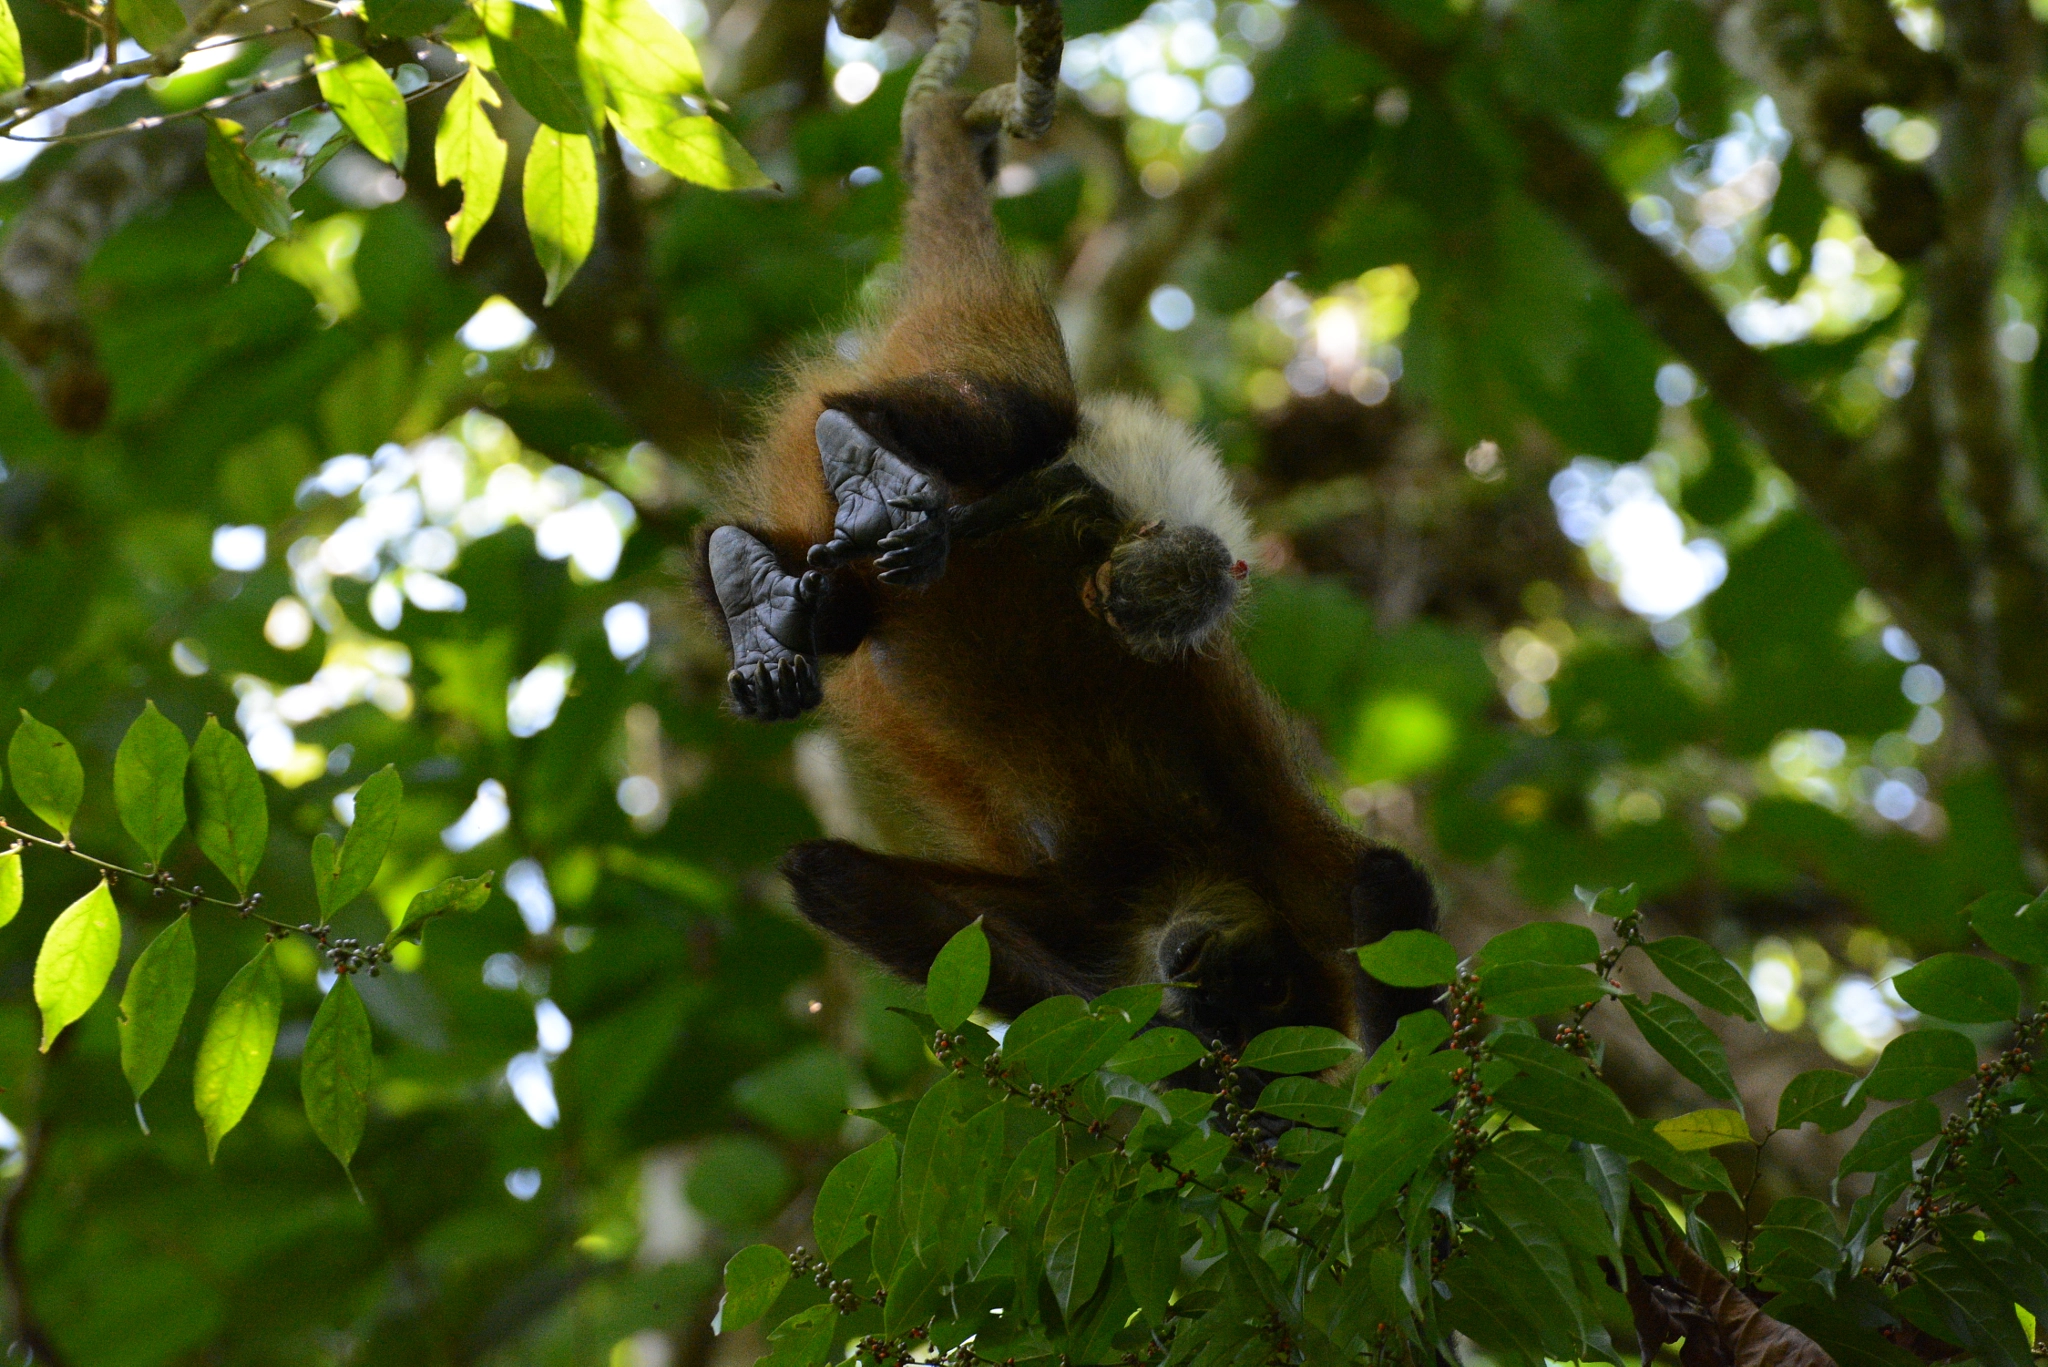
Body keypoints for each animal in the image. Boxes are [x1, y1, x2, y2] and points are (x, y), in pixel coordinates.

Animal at [697, 91, 1439, 1057]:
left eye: (1247, 1009)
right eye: (1258, 985)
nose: (1195, 982)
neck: (1186, 873)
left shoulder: (1095, 913)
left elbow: (835, 876)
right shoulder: (1287, 862)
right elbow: (1389, 880)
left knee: (840, 615)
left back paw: (760, 599)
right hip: (992, 362)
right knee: (1032, 428)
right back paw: (871, 463)